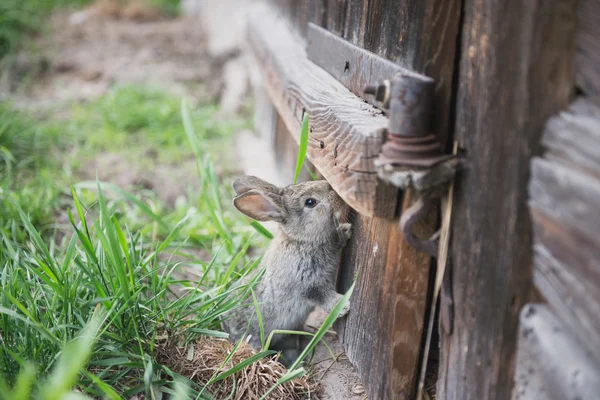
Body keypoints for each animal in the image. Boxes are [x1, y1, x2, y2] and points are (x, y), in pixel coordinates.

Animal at [221, 175, 352, 362]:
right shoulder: (308, 283)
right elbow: (322, 296)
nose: (337, 194)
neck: (301, 240)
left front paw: (346, 230)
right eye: (310, 202)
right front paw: (343, 305)